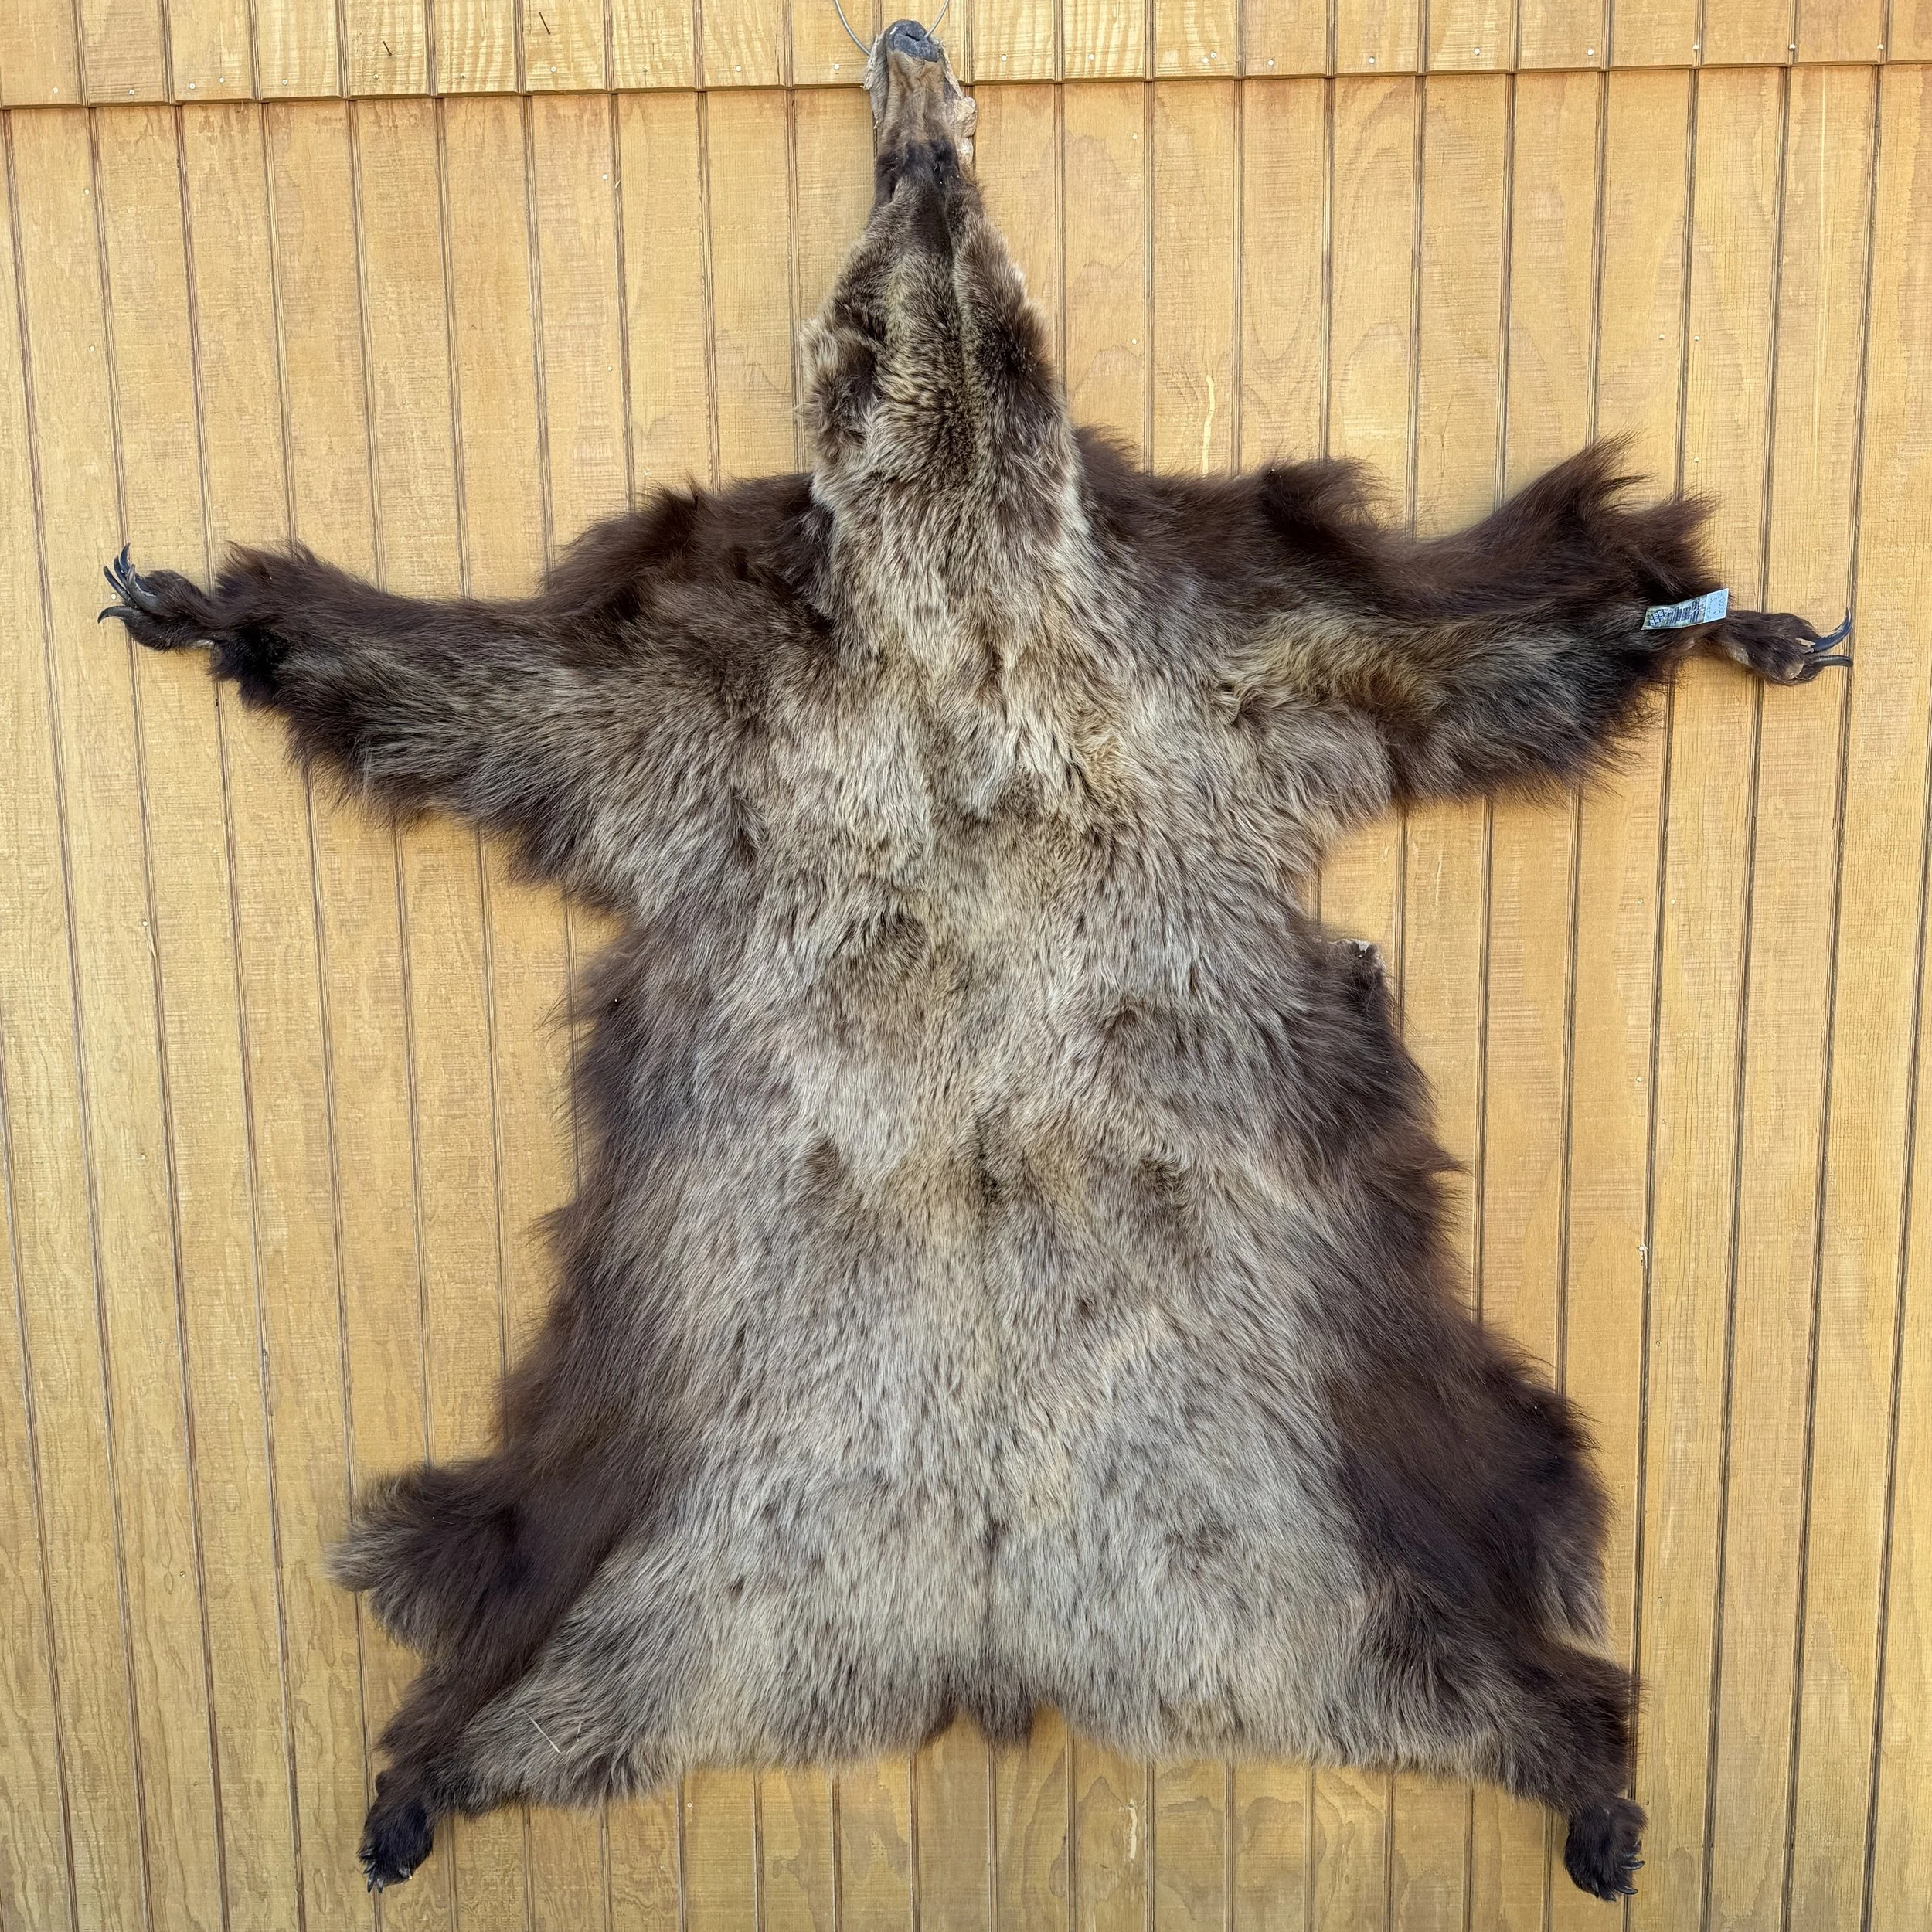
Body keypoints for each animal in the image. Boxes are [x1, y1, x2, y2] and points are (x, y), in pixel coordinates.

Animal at [98, 18, 1848, 1903]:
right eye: (880, 232)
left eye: (956, 218)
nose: (915, 59)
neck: (964, 600)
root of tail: (990, 1640)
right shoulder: (675, 693)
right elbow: (466, 688)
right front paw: (232, 611)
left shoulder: (1252, 650)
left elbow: (1480, 648)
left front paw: (1696, 616)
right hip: (635, 1499)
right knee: (532, 1624)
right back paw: (423, 1770)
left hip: (1364, 1472)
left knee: (1474, 1610)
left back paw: (1582, 1769)